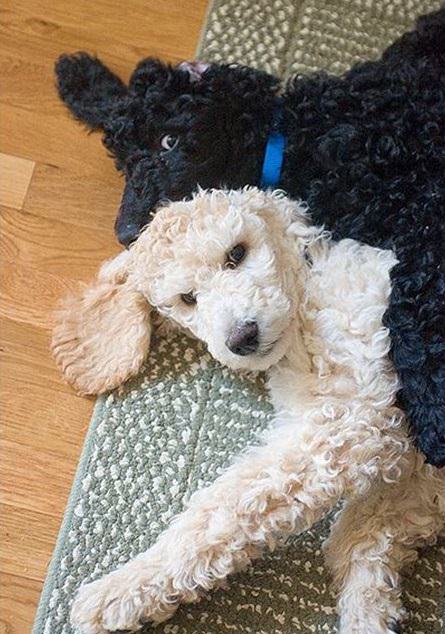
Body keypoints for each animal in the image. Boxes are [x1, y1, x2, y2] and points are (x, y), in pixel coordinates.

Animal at [53, 188, 444, 632]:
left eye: (236, 254)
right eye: (187, 299)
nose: (242, 337)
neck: (307, 291)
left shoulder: (352, 423)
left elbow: (225, 510)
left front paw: (120, 591)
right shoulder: (409, 477)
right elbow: (361, 541)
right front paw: (369, 614)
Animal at [55, 7, 444, 466]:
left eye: (170, 140)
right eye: (123, 162)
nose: (125, 232)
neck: (296, 139)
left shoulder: (426, 210)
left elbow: (409, 299)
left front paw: (433, 410)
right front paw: (82, 79)